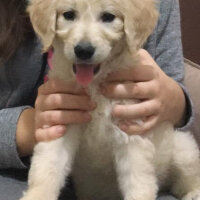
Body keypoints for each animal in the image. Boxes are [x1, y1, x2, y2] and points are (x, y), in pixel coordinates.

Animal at [19, 0, 200, 200]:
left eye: (108, 17)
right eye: (69, 14)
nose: (83, 50)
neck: (95, 84)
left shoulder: (131, 134)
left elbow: (138, 183)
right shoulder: (60, 119)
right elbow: (46, 168)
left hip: (183, 148)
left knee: (187, 178)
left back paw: (193, 192)